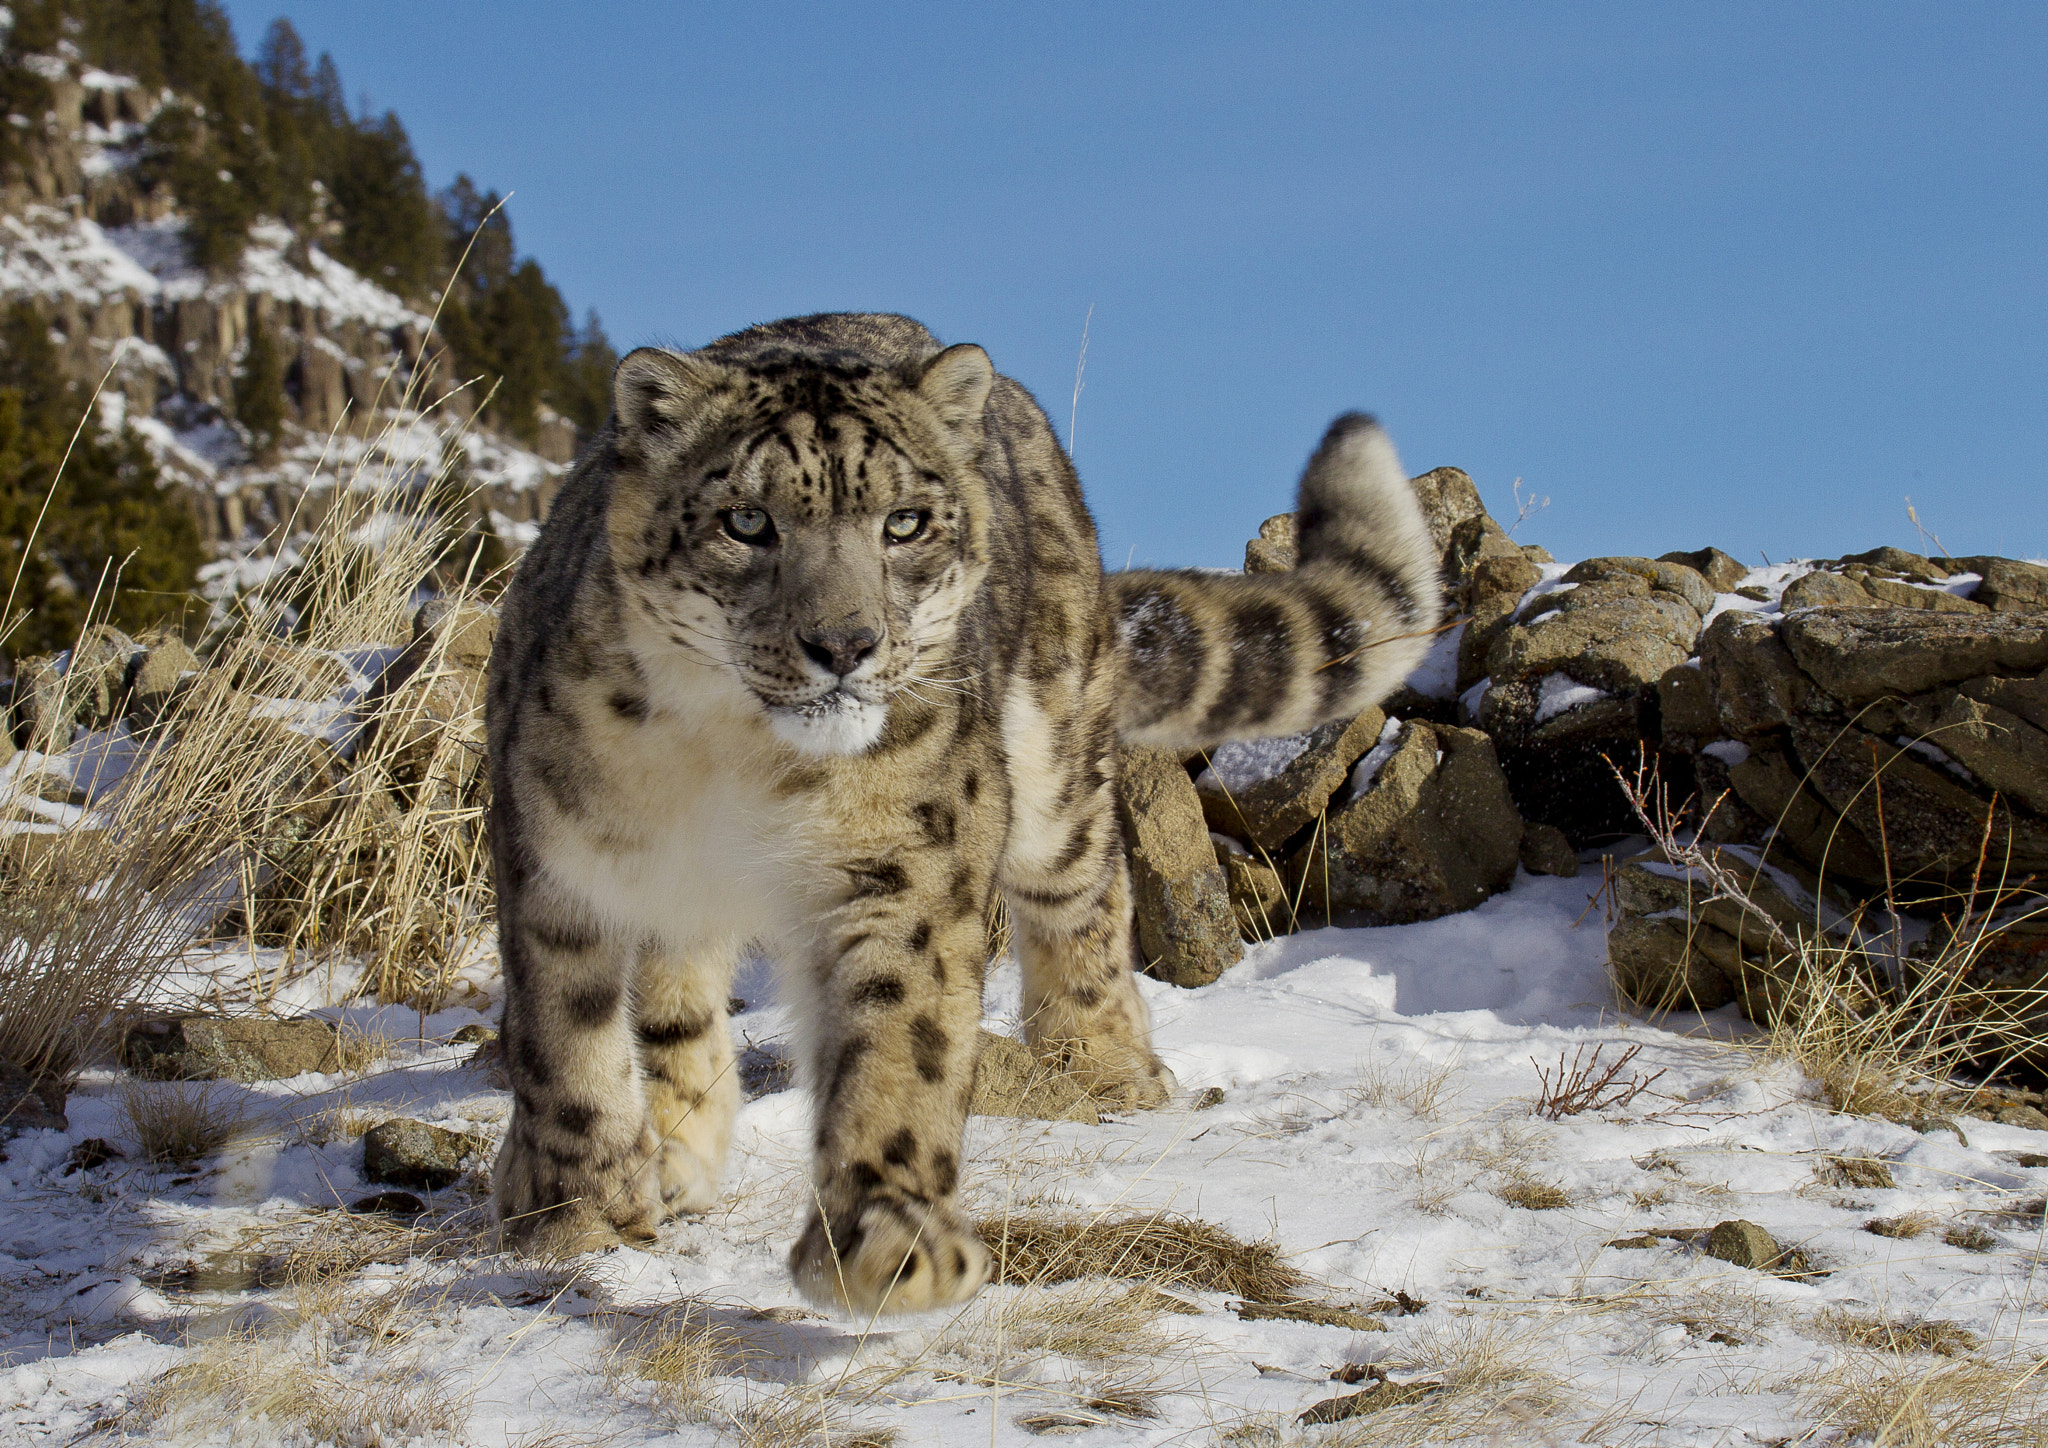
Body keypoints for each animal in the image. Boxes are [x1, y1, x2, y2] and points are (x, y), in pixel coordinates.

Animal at [487, 313, 1441, 1310]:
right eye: (746, 521)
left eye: (903, 522)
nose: (845, 643)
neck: (736, 758)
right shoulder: (555, 859)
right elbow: (568, 1045)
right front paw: (576, 1213)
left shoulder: (906, 856)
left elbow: (898, 1036)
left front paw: (888, 1246)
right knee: (677, 993)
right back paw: (674, 1157)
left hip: (1056, 764)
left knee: (1085, 894)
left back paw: (1103, 1062)